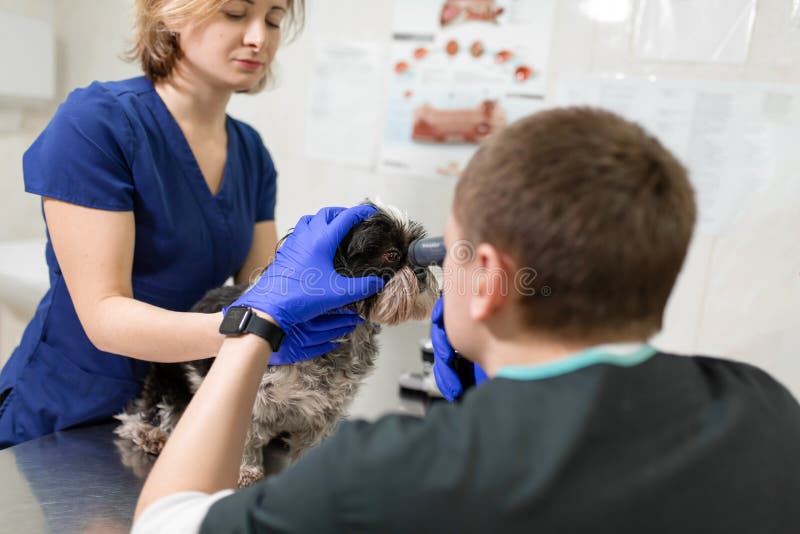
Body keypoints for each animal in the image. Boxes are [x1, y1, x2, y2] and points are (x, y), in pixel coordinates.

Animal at [114, 203, 438, 488]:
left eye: (418, 256)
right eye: (391, 255)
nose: (421, 272)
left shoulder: (327, 409)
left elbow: (314, 441)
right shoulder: (255, 394)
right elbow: (245, 433)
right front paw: (244, 470)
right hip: (169, 377)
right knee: (144, 412)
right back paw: (150, 431)